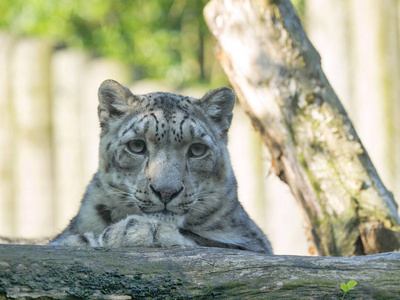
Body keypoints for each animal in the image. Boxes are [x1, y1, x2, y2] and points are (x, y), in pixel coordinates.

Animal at [47, 78, 272, 254]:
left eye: (197, 149)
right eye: (137, 146)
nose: (166, 192)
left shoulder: (254, 241)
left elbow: (209, 240)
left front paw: (134, 230)